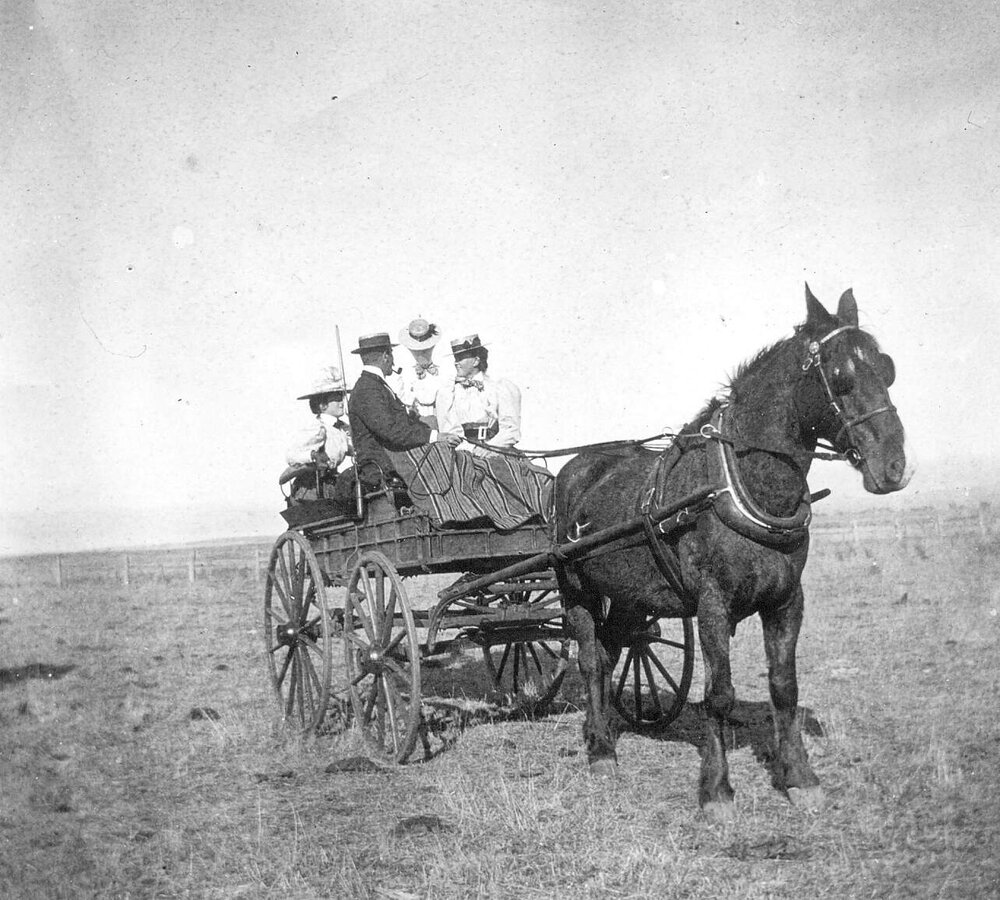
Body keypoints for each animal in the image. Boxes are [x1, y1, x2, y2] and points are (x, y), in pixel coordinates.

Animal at [555, 285, 909, 821]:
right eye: (841, 375)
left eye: (886, 368)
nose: (894, 467)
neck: (741, 485)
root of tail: (575, 468)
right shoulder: (712, 605)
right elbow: (719, 694)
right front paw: (717, 791)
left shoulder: (786, 601)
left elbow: (784, 687)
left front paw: (800, 777)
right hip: (575, 589)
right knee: (590, 660)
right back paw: (600, 750)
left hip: (632, 598)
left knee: (611, 650)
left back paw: (606, 734)